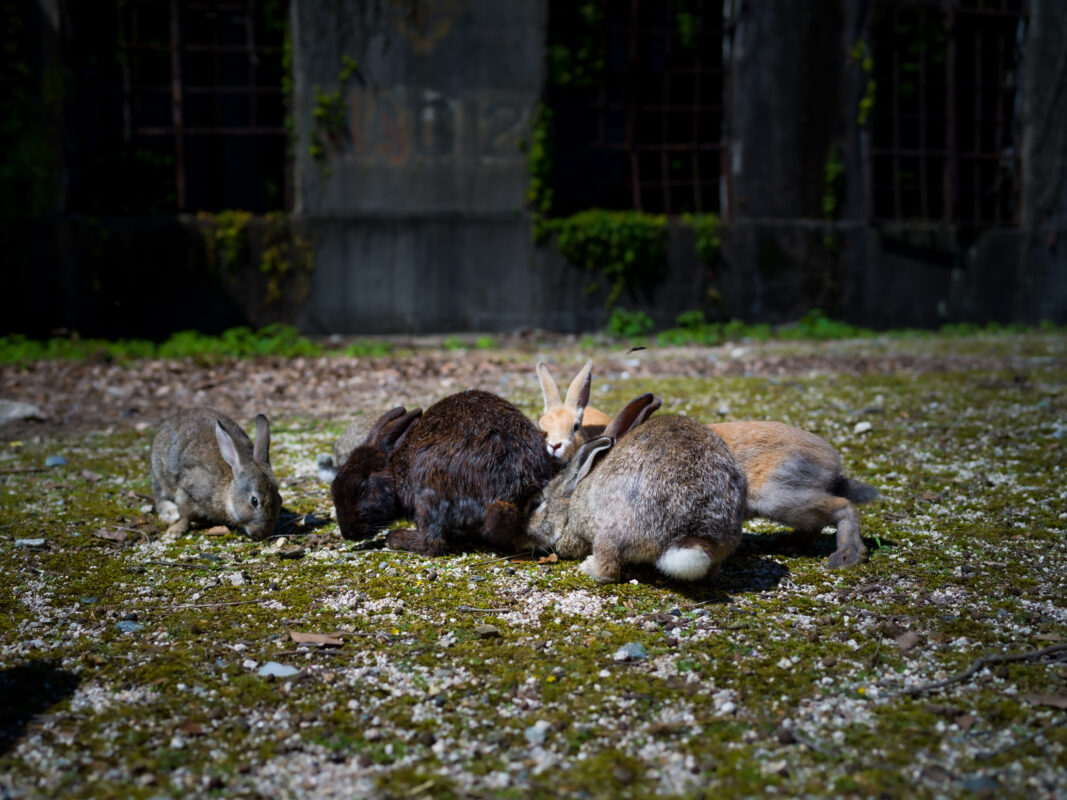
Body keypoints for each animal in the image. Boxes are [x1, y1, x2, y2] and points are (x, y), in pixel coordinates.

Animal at [150, 407, 281, 541]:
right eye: (254, 501)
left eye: (279, 500)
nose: (263, 534)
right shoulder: (187, 491)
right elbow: (185, 516)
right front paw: (174, 532)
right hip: (159, 473)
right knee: (159, 497)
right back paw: (171, 511)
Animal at [331, 389, 557, 556]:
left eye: (362, 488)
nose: (348, 533)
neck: (394, 470)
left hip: (427, 490)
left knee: (433, 544)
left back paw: (395, 538)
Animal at [526, 394, 748, 583]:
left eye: (538, 503)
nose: (526, 528)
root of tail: (695, 532)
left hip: (611, 531)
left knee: (608, 569)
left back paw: (587, 567)